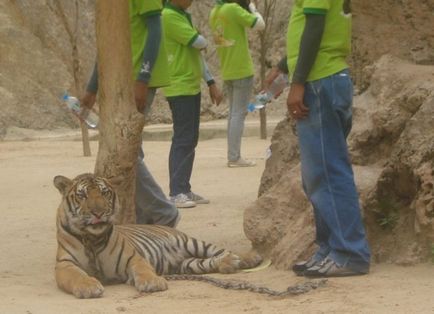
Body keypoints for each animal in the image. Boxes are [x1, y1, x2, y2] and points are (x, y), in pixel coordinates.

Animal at [54, 173, 264, 298]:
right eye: (82, 195)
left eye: (104, 193)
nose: (98, 212)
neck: (92, 238)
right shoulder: (65, 265)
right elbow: (77, 275)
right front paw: (88, 286)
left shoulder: (133, 257)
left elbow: (143, 269)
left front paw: (152, 282)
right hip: (187, 264)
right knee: (209, 261)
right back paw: (229, 263)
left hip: (190, 242)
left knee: (221, 250)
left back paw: (248, 258)